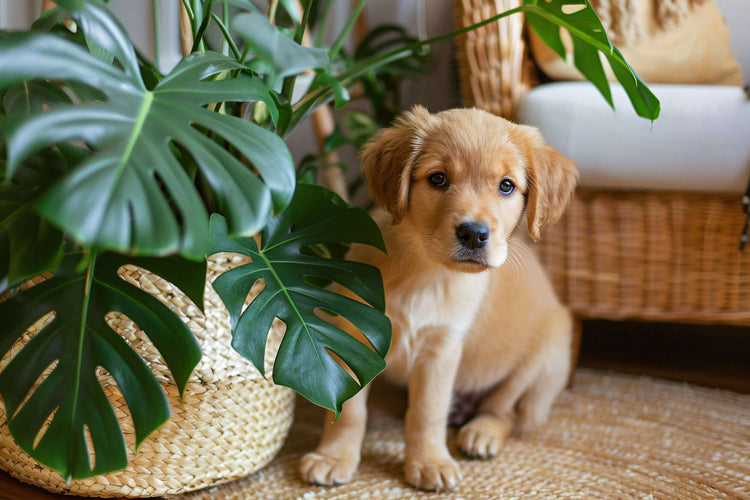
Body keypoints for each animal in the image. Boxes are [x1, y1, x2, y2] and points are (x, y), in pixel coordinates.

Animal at [302, 106, 580, 492]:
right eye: (438, 179)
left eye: (506, 185)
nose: (474, 233)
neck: (426, 271)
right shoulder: (354, 335)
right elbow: (348, 408)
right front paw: (334, 456)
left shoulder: (442, 347)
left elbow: (427, 412)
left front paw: (429, 461)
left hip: (547, 358)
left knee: (504, 410)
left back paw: (481, 432)